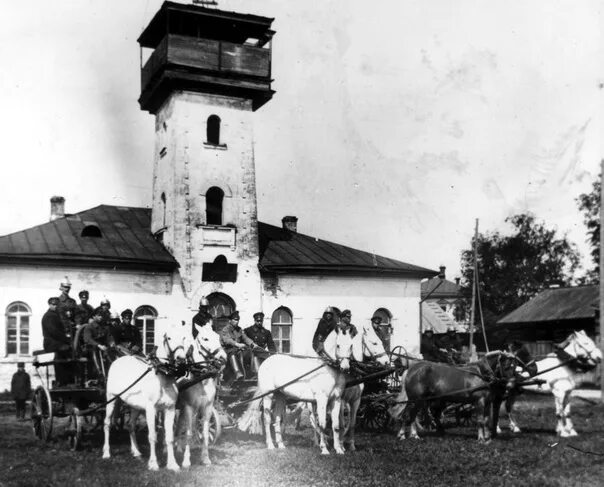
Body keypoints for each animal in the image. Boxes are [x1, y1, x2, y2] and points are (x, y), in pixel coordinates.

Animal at [101, 330, 188, 470]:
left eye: (184, 337)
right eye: (169, 338)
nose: (181, 359)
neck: (163, 376)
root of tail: (117, 360)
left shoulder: (170, 409)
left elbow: (169, 438)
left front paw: (172, 464)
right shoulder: (151, 409)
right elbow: (152, 436)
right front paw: (153, 464)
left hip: (134, 406)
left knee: (130, 425)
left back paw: (136, 452)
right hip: (111, 398)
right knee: (107, 423)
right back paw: (106, 453)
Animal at [177, 324, 229, 468]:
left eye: (218, 337)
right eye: (205, 338)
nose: (223, 358)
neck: (201, 377)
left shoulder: (207, 407)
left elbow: (205, 433)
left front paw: (205, 459)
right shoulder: (189, 407)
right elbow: (189, 434)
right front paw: (186, 461)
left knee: (179, 426)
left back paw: (178, 448)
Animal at [242, 326, 358, 456]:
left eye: (351, 345)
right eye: (338, 345)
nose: (345, 367)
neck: (329, 369)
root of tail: (265, 362)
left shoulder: (336, 400)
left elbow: (336, 426)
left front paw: (339, 449)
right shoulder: (322, 399)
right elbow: (322, 424)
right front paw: (324, 449)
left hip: (280, 396)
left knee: (277, 418)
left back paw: (281, 445)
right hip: (268, 395)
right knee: (267, 419)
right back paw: (270, 445)